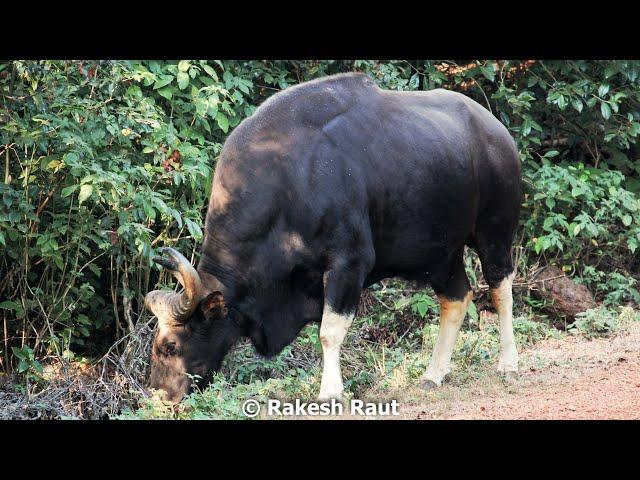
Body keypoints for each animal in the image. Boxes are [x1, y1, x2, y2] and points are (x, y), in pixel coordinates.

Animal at [144, 72, 520, 402]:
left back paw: (509, 363)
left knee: (500, 288)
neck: (290, 180)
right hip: (441, 252)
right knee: (457, 296)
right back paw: (434, 373)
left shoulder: (348, 263)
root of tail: (498, 132)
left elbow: (329, 332)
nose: (161, 395)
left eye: (170, 345)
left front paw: (330, 392)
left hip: (494, 231)